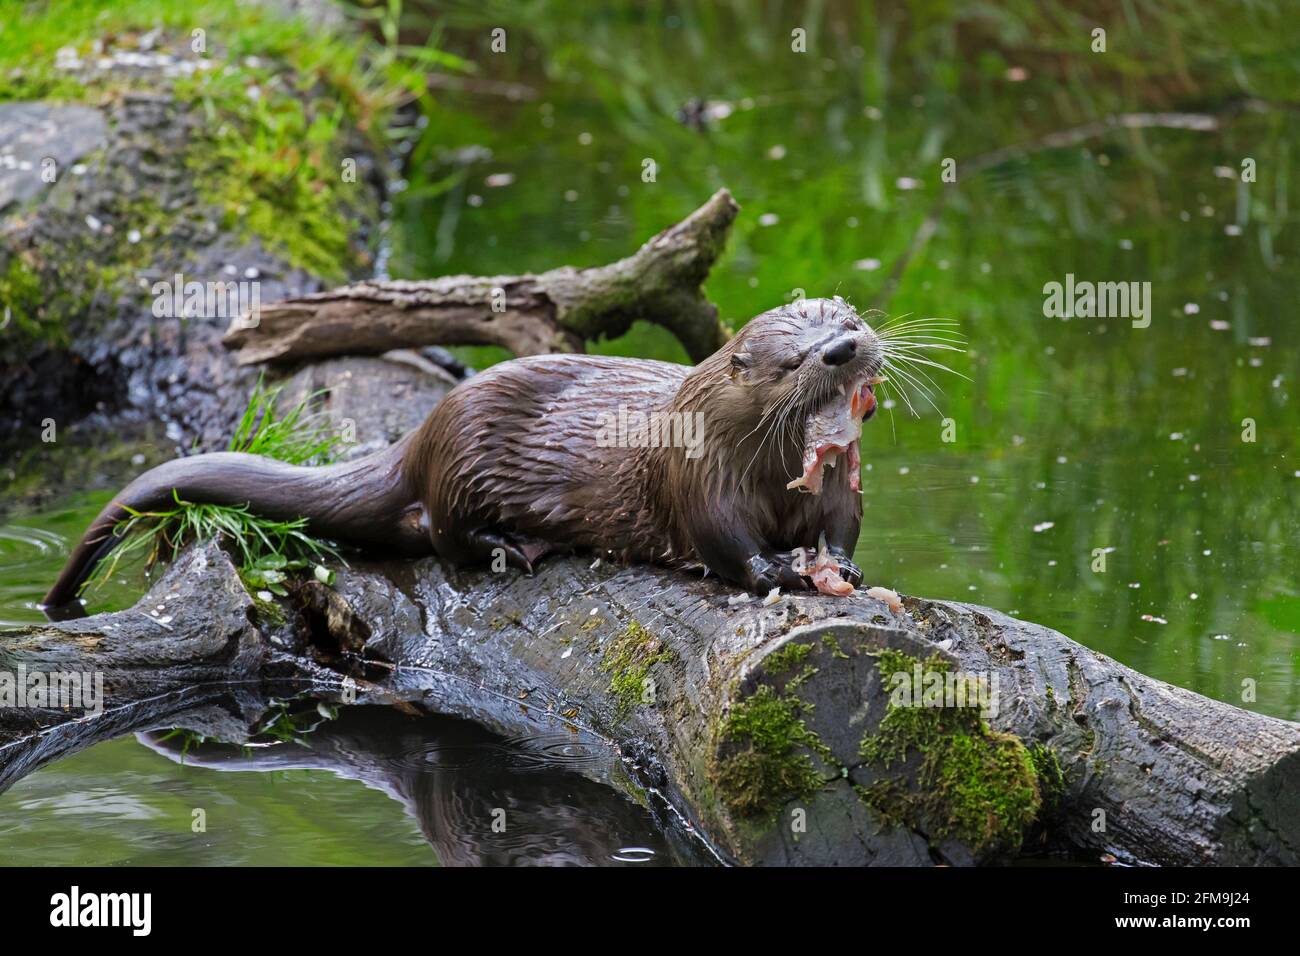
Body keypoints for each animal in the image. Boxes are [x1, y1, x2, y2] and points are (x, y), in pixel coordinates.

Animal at [45, 299, 889, 608]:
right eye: (792, 359)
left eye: (849, 317)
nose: (844, 349)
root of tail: (420, 436)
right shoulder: (699, 477)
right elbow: (726, 546)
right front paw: (778, 572)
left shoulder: (836, 494)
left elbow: (843, 528)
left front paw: (840, 568)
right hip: (462, 460)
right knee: (442, 535)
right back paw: (511, 547)